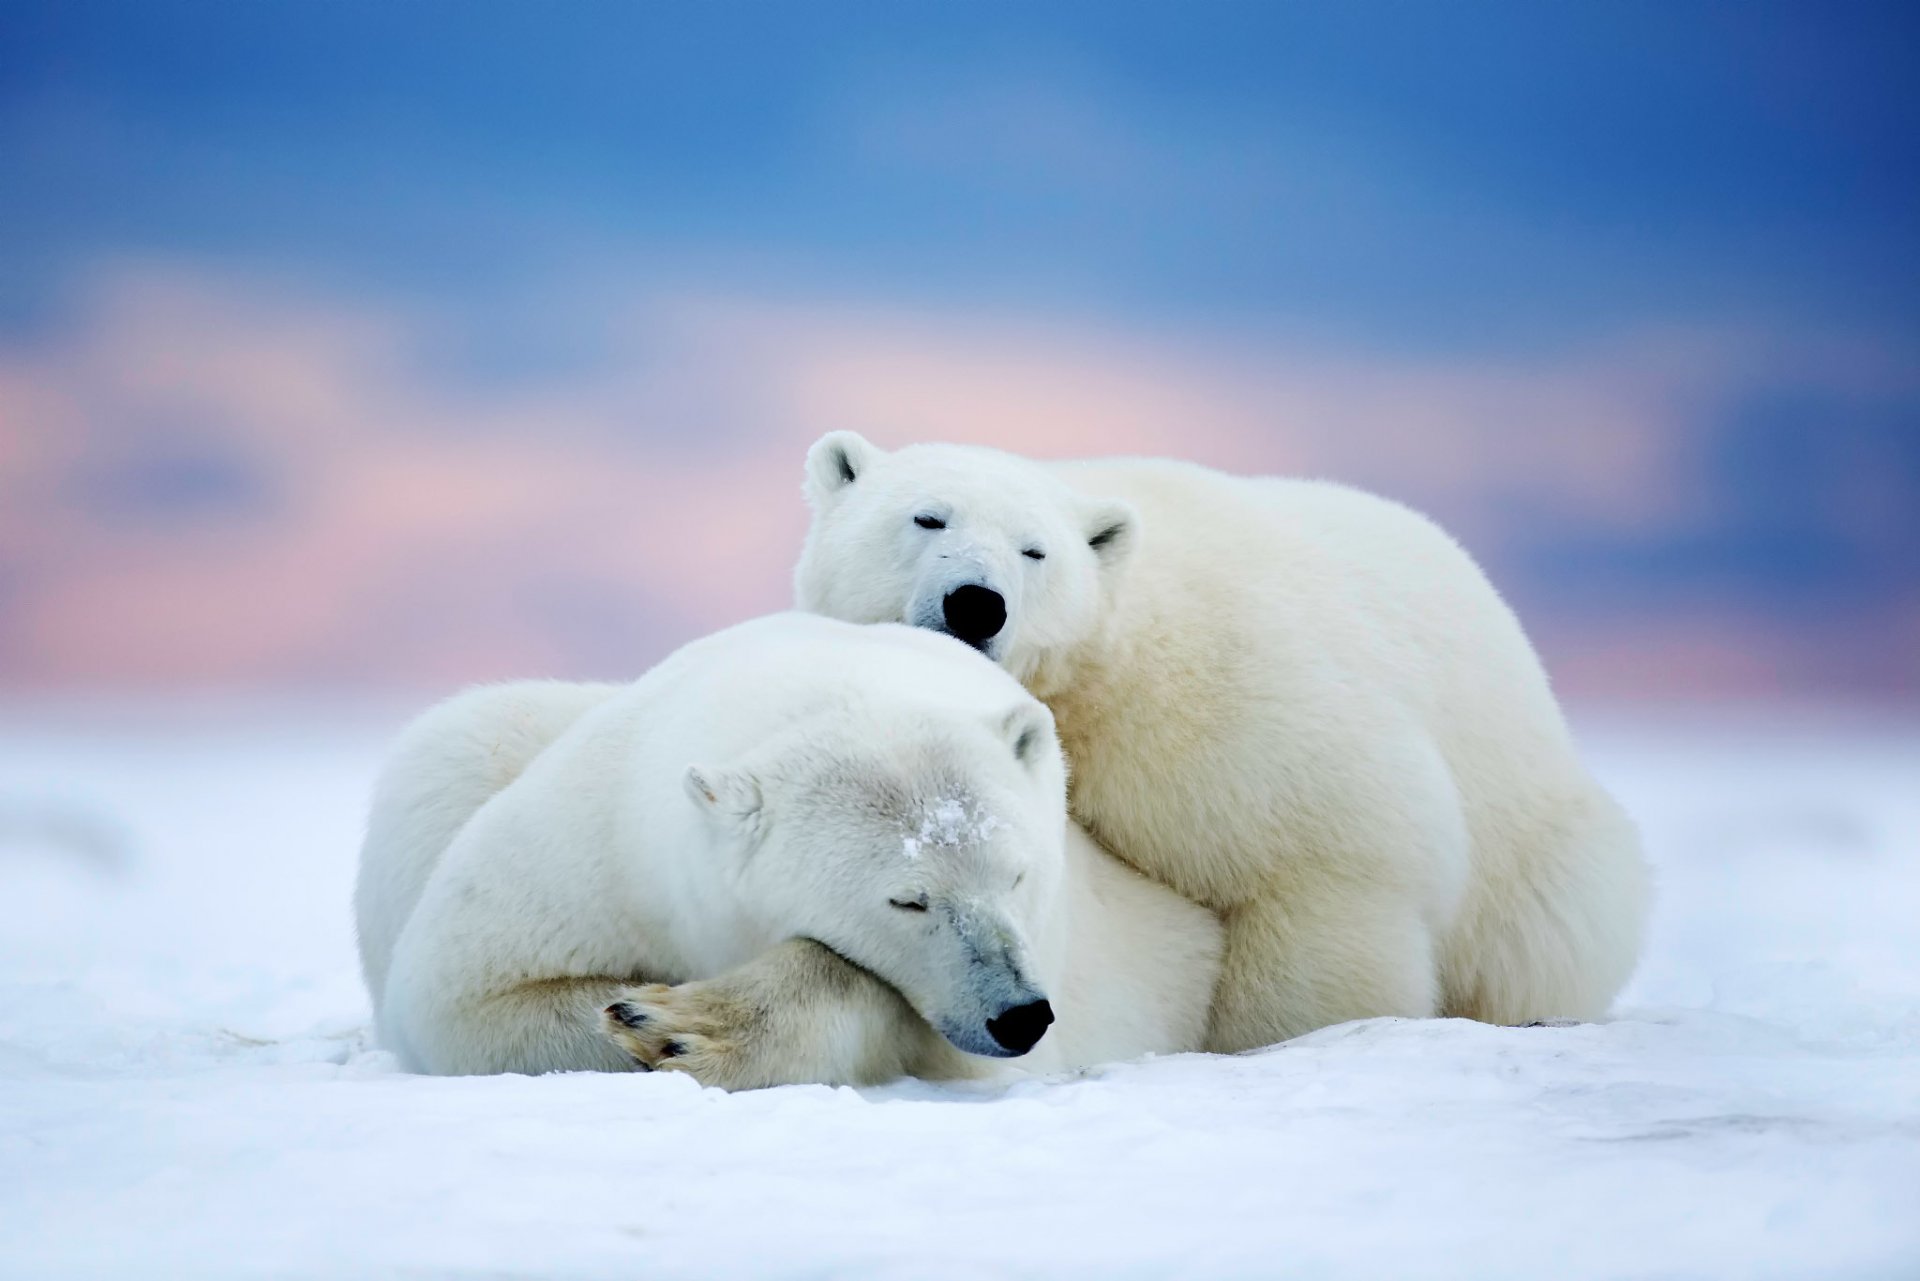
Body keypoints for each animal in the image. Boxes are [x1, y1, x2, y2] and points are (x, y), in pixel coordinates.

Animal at [354, 612, 1221, 1086]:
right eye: (908, 898)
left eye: (1017, 874)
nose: (1019, 1014)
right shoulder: (599, 842)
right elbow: (464, 995)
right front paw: (646, 1013)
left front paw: (683, 1024)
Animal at [793, 433, 1651, 1053]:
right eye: (927, 517)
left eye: (1035, 550)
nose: (977, 602)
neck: (1102, 671)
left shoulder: (1228, 710)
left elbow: (1325, 864)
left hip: (1536, 849)